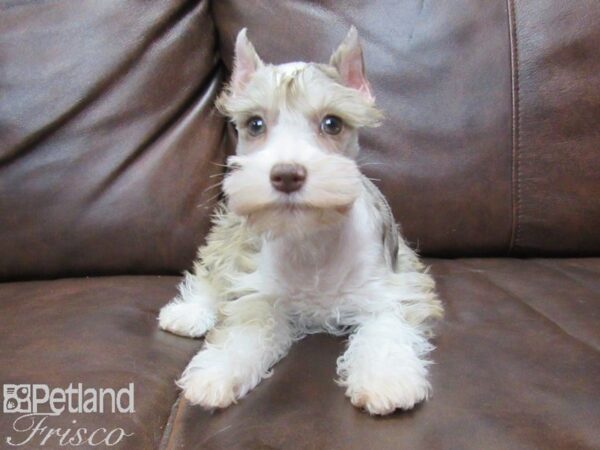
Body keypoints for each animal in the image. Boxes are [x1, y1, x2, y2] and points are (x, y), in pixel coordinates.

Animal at [157, 27, 442, 414]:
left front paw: (386, 378)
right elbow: (244, 331)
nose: (287, 174)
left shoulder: (392, 288)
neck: (311, 238)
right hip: (232, 232)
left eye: (332, 123)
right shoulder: (259, 293)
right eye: (255, 124)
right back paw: (190, 312)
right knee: (212, 270)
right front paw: (218, 372)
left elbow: (387, 328)